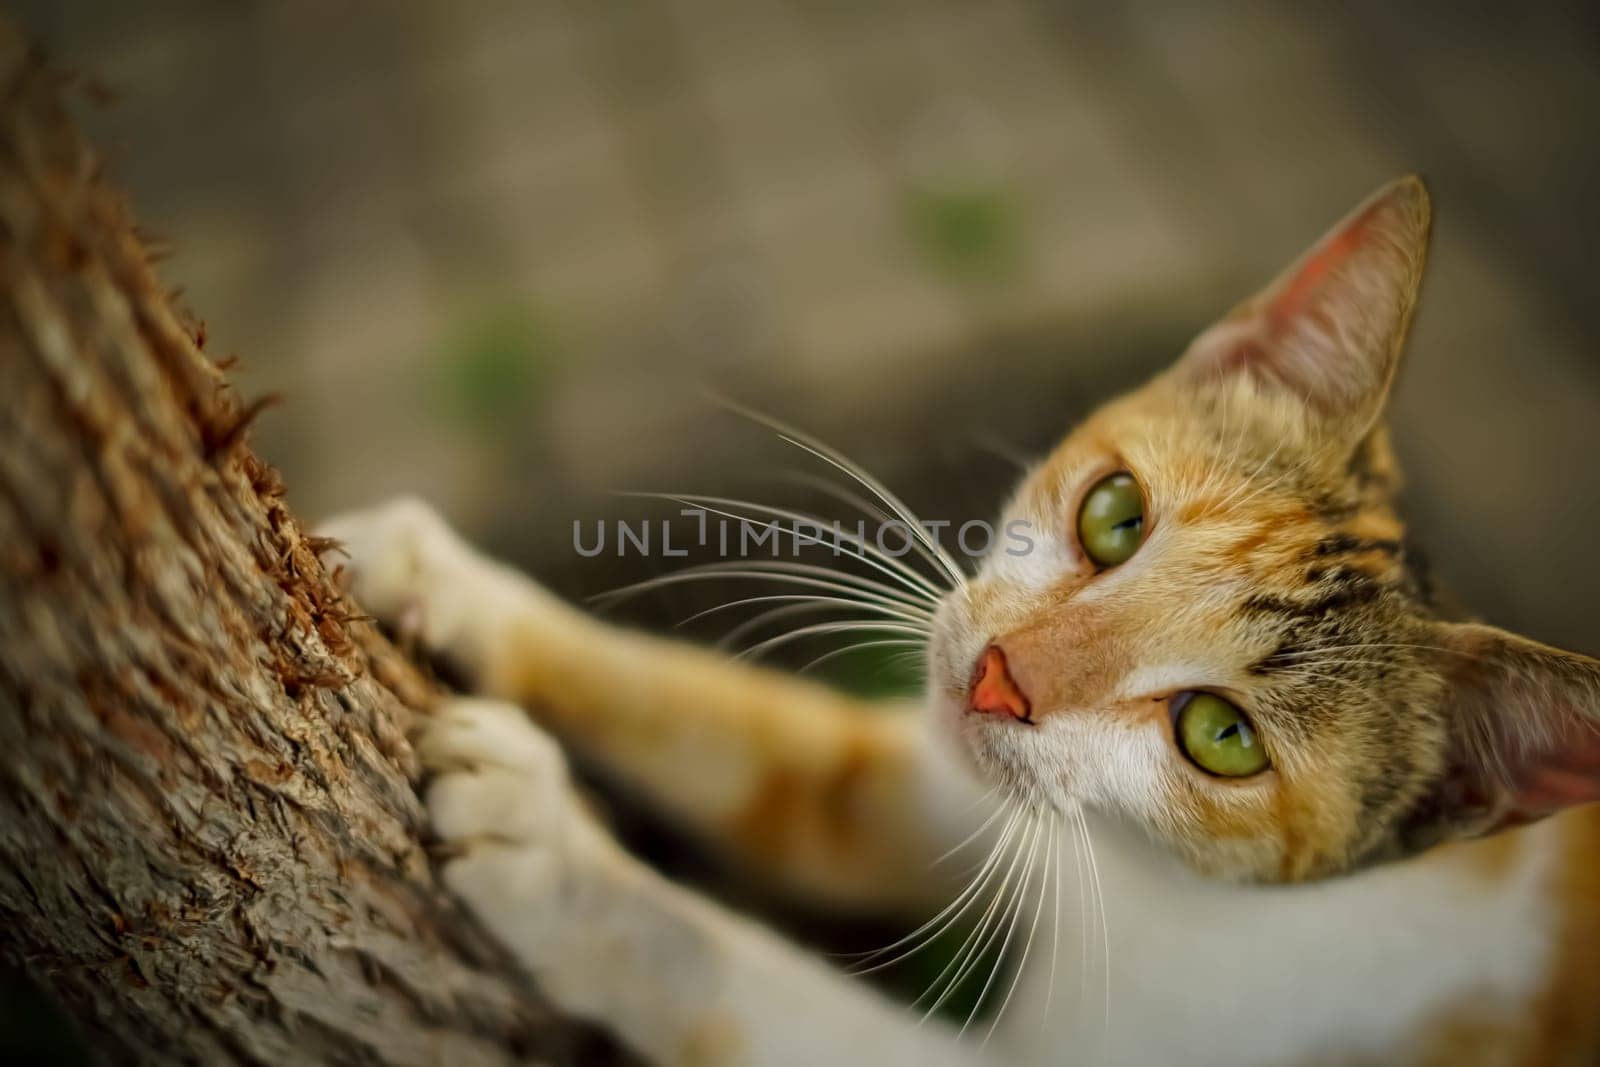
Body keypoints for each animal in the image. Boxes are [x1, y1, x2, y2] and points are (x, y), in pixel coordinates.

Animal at [321, 179, 1600, 1062]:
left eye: (1220, 735)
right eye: (1114, 514)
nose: (997, 676)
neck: (1147, 885)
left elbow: (745, 980)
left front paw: (558, 860)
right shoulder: (924, 775)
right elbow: (750, 739)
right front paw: (438, 572)